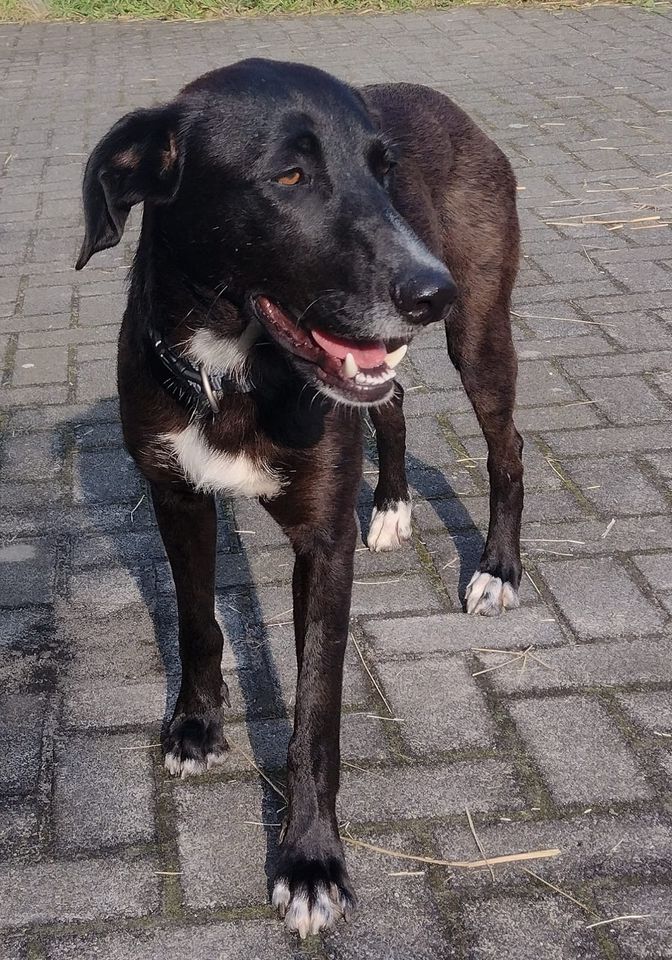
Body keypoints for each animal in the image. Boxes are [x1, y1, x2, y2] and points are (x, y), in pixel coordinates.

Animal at [76, 60, 524, 936]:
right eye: (289, 175)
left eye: (384, 169)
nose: (433, 291)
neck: (232, 370)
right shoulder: (176, 497)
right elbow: (196, 623)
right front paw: (197, 724)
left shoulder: (321, 541)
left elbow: (315, 710)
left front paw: (311, 860)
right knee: (393, 404)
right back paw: (390, 508)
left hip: (483, 338)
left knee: (507, 450)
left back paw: (497, 569)